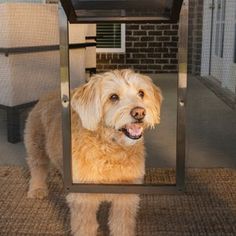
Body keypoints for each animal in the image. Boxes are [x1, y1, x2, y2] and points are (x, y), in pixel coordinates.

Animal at [25, 69, 162, 236]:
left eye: (141, 93)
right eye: (113, 97)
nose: (139, 112)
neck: (110, 149)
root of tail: (50, 93)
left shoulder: (126, 196)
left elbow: (121, 224)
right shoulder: (84, 197)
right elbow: (86, 226)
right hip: (36, 144)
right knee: (37, 167)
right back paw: (37, 189)